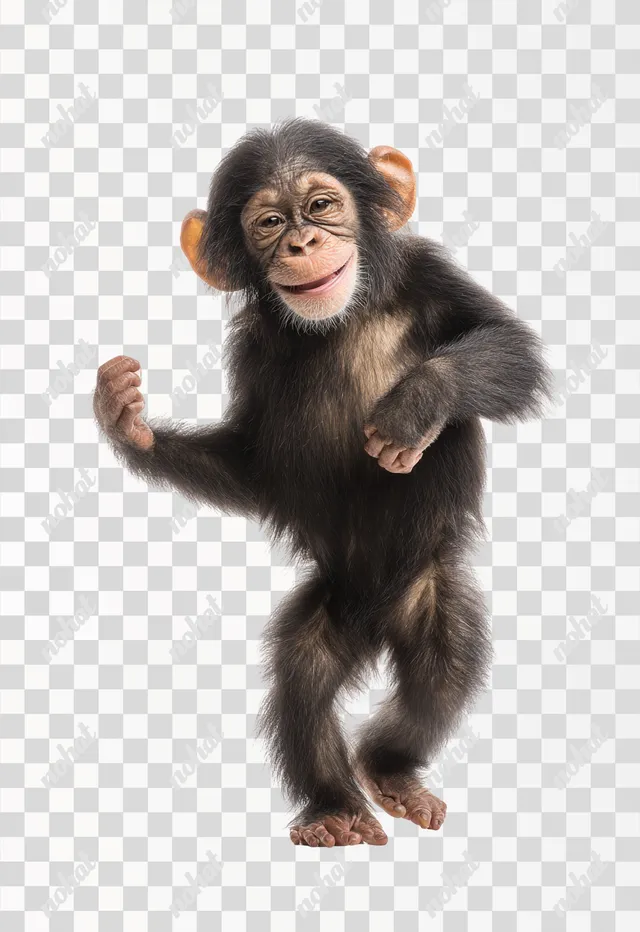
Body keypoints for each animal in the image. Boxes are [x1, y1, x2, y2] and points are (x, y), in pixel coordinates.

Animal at [93, 118, 551, 847]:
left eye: (321, 205)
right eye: (270, 222)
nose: (302, 242)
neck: (344, 316)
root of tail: (374, 618)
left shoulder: (433, 273)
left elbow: (507, 344)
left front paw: (415, 406)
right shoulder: (250, 350)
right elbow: (254, 469)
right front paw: (127, 420)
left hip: (428, 589)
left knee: (442, 674)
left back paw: (392, 772)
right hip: (329, 609)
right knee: (303, 685)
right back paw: (335, 806)